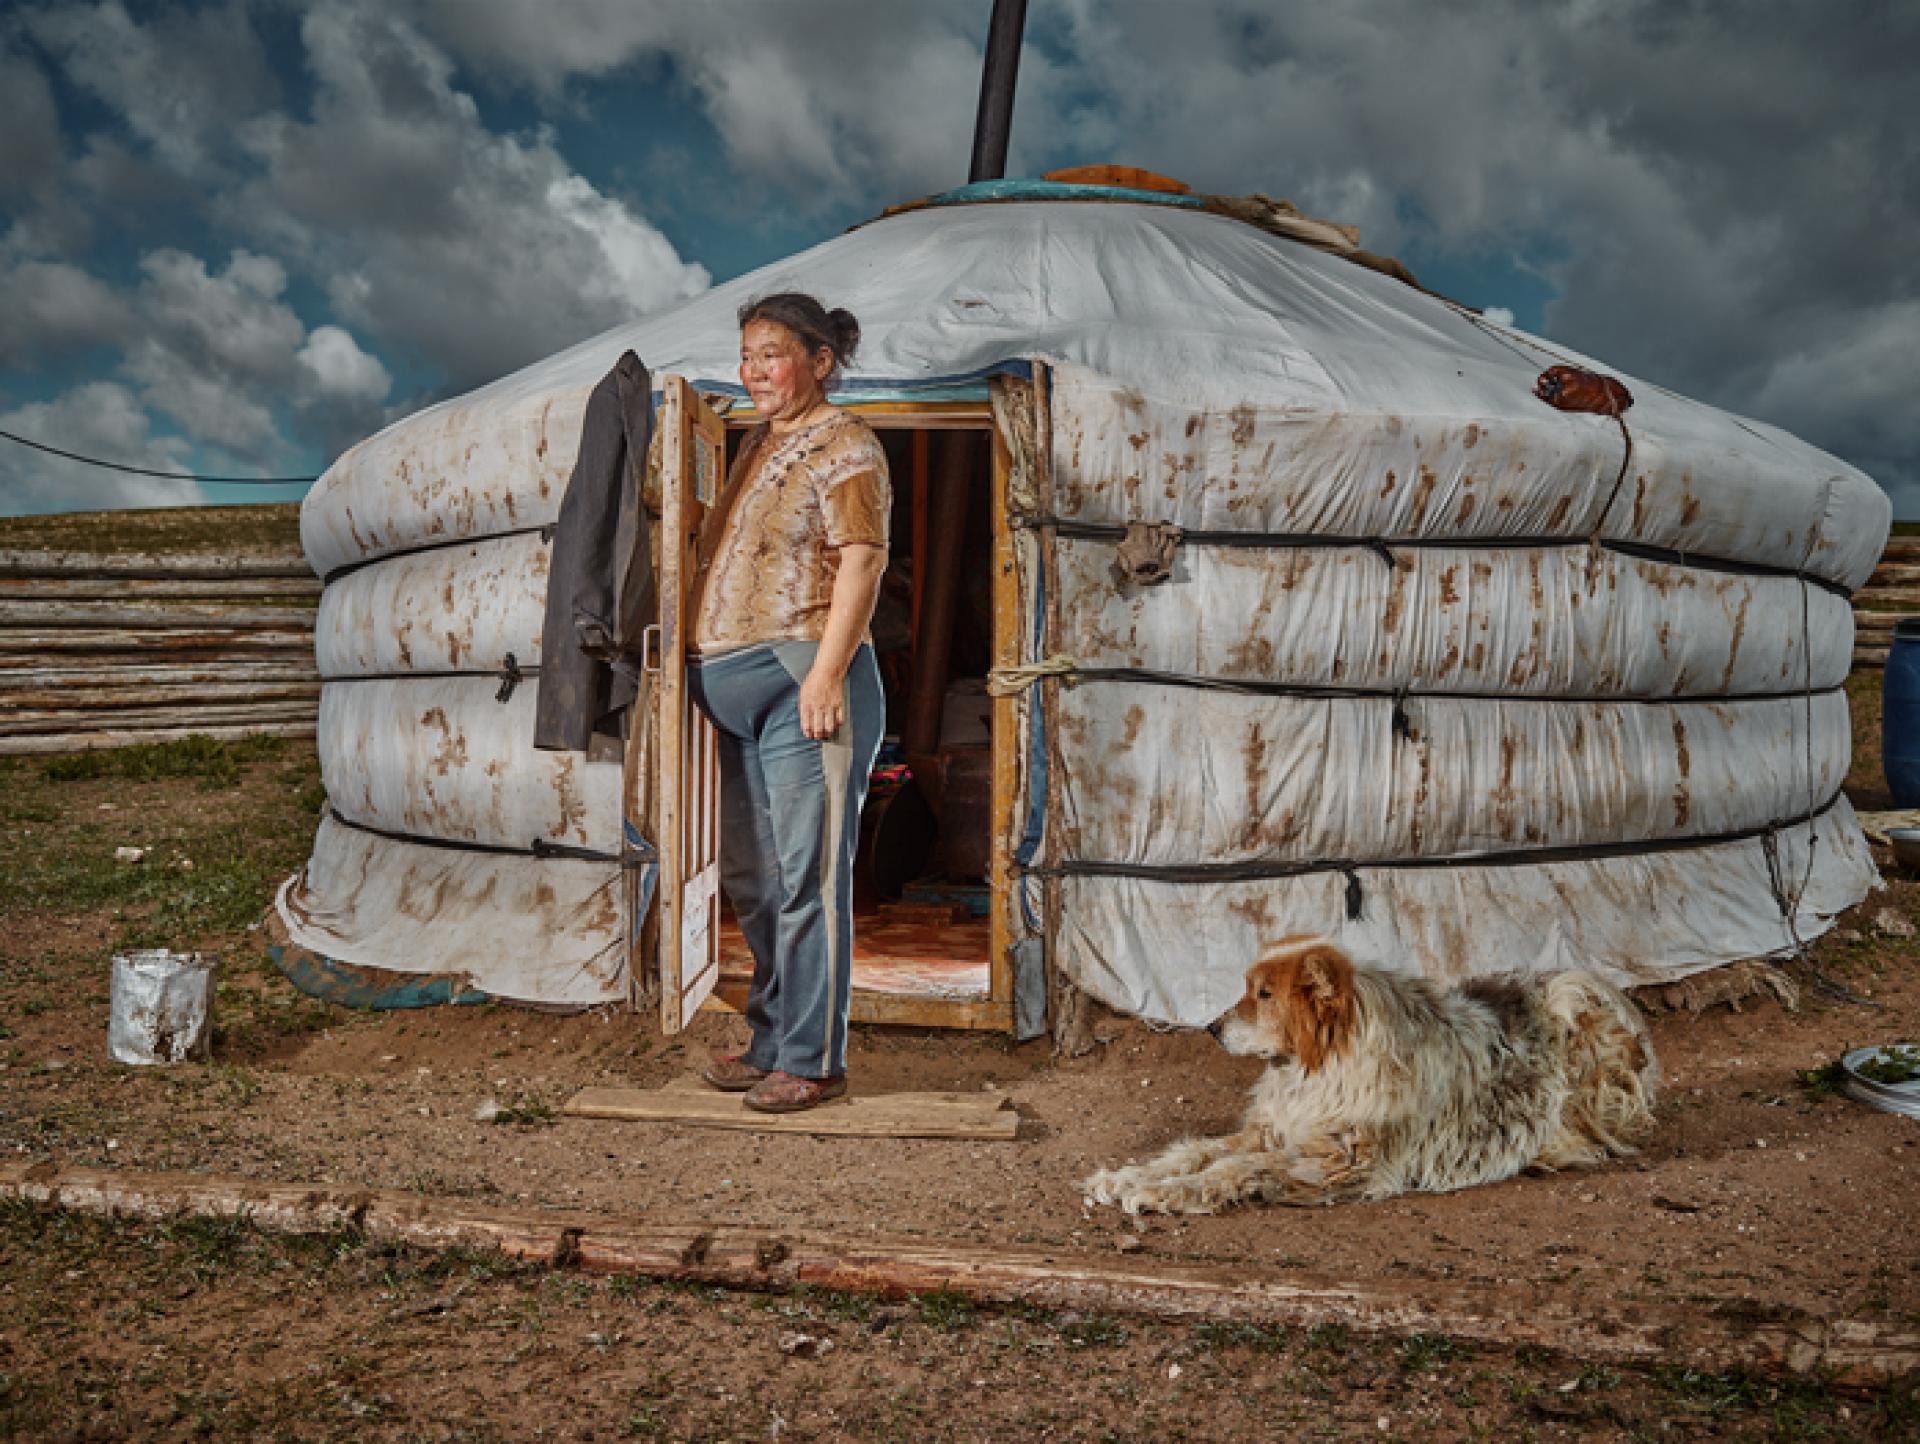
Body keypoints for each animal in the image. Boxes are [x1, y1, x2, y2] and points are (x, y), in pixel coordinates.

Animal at [1090, 929, 1658, 1213]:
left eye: (1264, 995)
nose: (1210, 1028)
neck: (1321, 1066)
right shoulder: (1276, 1131)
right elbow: (1195, 1151)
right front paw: (1129, 1176)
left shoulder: (1341, 1160)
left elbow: (1233, 1168)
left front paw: (1165, 1193)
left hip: (1579, 1007)